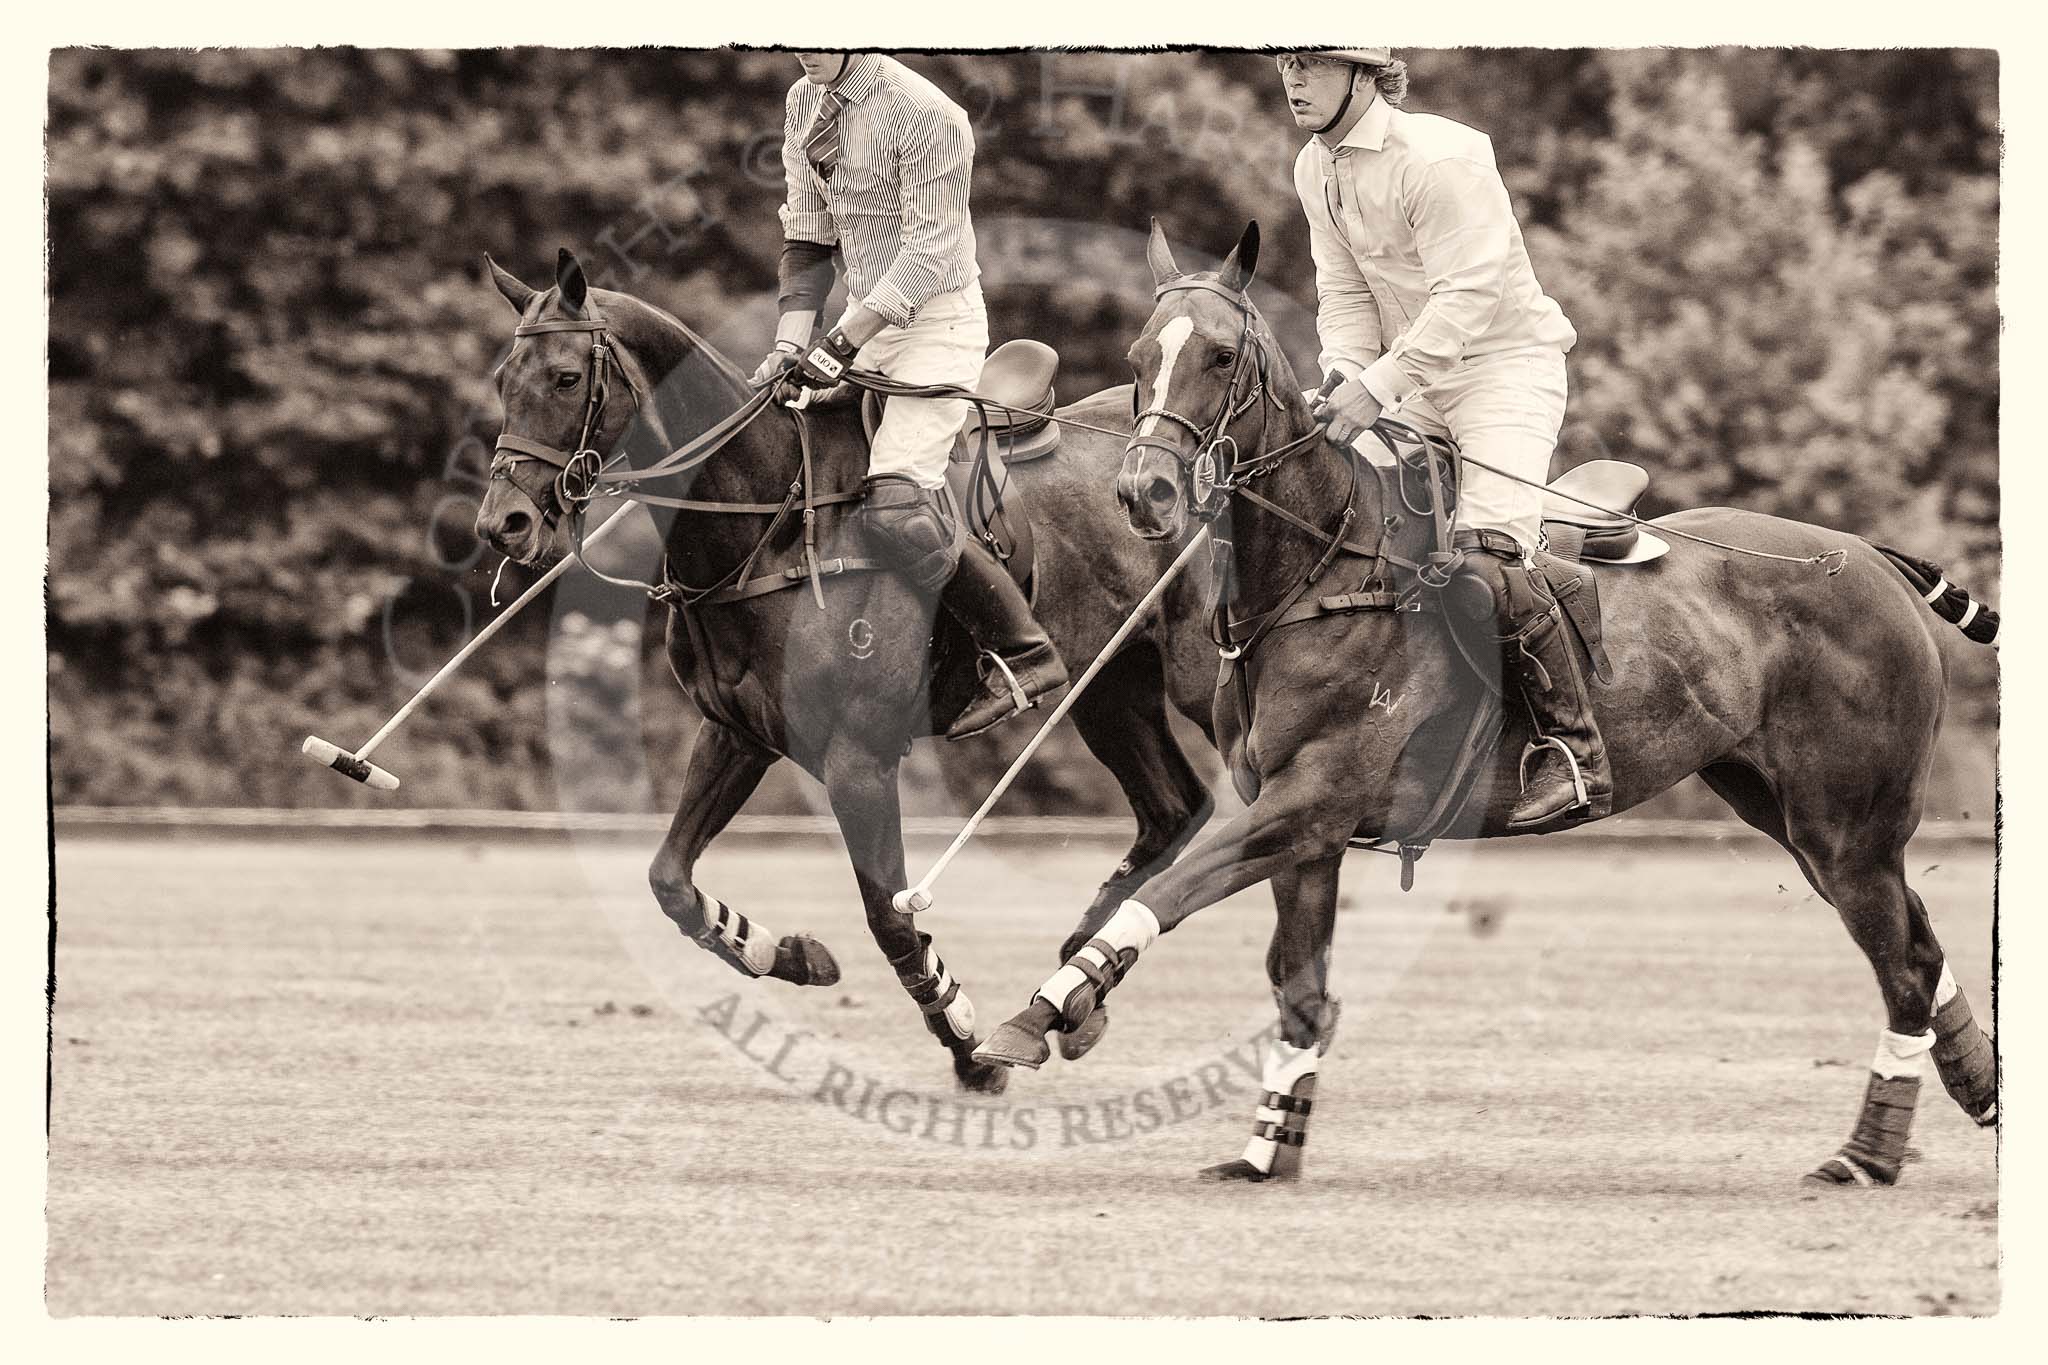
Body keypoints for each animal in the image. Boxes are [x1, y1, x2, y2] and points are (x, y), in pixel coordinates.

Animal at [471, 250, 1220, 1096]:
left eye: (566, 377)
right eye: (502, 377)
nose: (503, 524)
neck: (767, 523)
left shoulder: (859, 757)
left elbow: (889, 915)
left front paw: (967, 1043)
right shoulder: (737, 733)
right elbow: (669, 880)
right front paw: (792, 953)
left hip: (1207, 681)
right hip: (1111, 687)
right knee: (1174, 808)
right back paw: (1077, 988)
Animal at [974, 222, 1998, 1186]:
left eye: (1222, 355)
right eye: (1143, 354)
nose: (1143, 492)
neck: (1316, 574)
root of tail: (1867, 556)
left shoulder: (1309, 802)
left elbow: (1166, 892)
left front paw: (1037, 1016)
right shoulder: (1305, 831)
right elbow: (1298, 993)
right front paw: (1267, 1152)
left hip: (1845, 823)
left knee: (1905, 965)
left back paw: (1866, 1153)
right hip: (1787, 810)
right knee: (1920, 941)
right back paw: (1975, 1083)